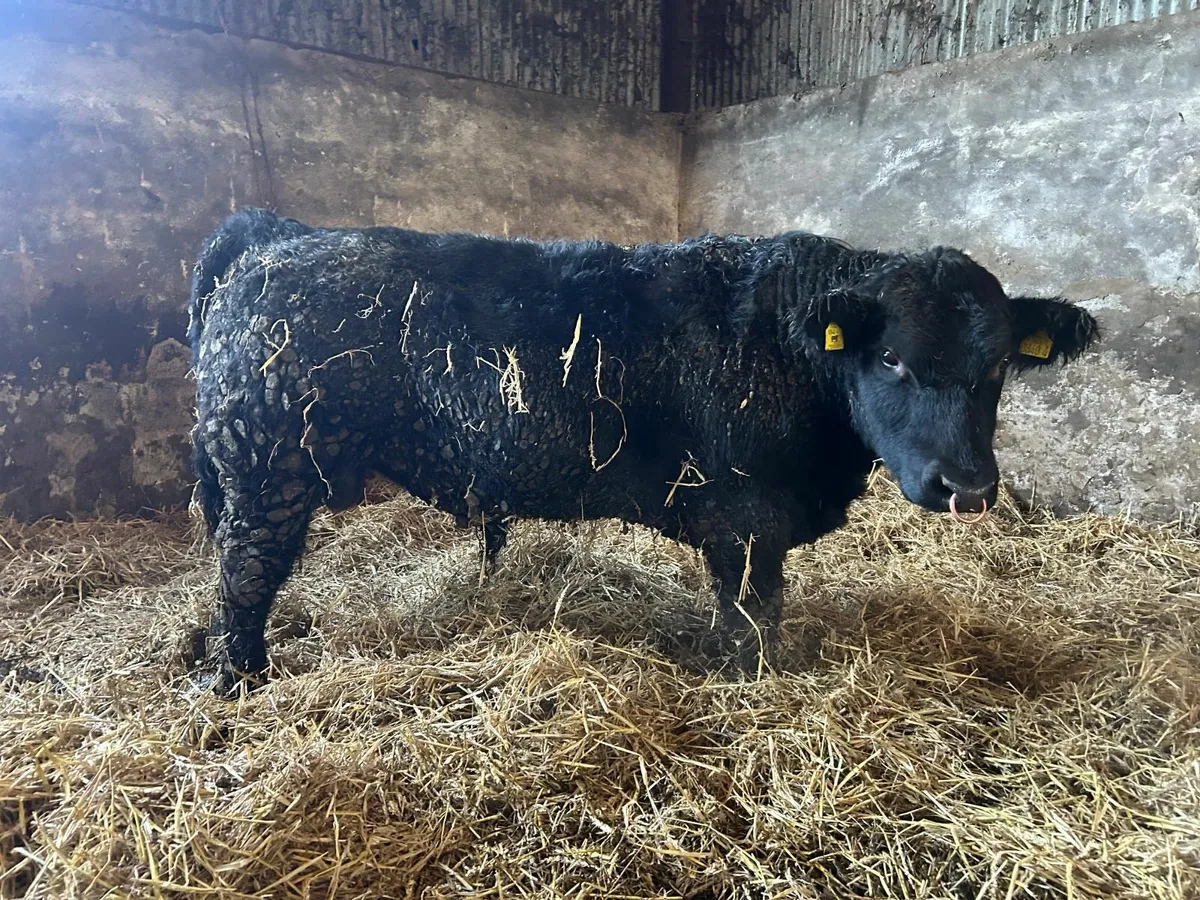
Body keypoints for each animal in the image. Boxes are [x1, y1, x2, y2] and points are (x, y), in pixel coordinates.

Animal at [188, 208, 1099, 696]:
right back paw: (241, 677)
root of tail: (279, 236)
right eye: (892, 359)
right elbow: (750, 612)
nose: (965, 487)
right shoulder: (746, 515)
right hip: (266, 464)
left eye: (997, 369)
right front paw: (745, 679)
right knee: (246, 575)